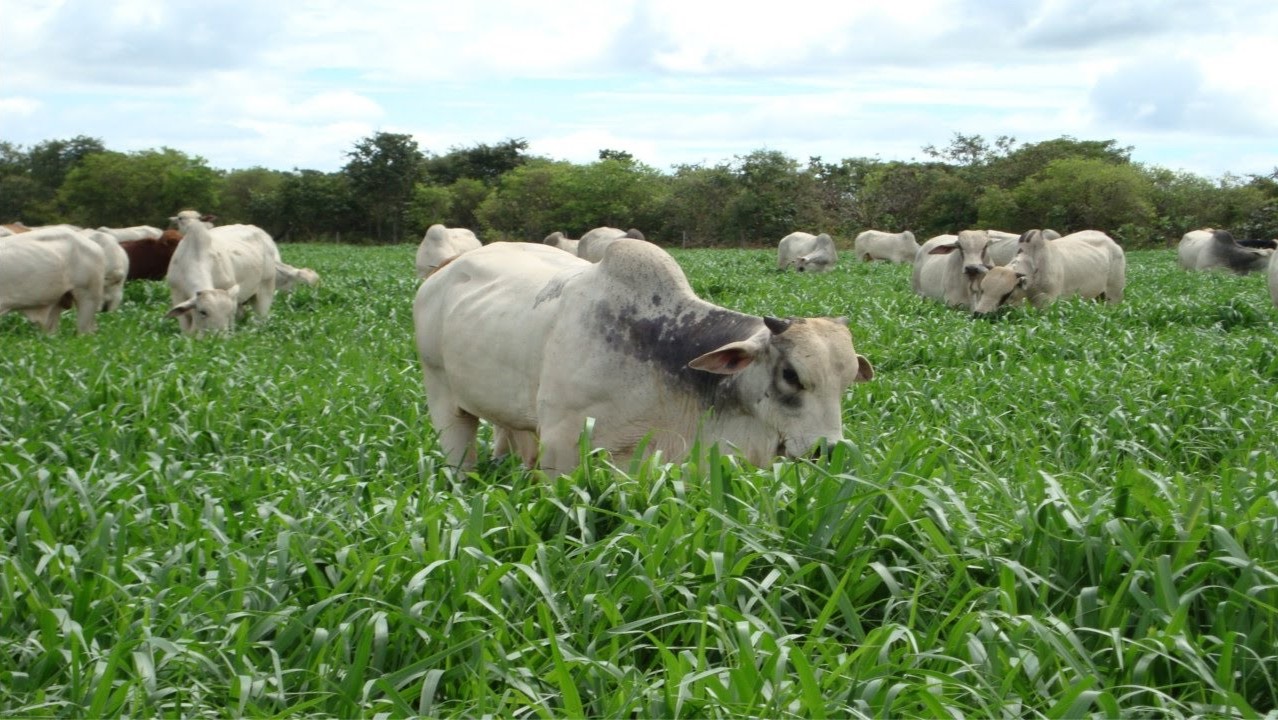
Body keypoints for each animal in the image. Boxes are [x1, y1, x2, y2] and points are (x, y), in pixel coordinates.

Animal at [164, 207, 277, 335]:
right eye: (203, 312)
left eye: (227, 312)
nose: (218, 337)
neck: (195, 257)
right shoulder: (176, 294)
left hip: (266, 289)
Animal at [414, 239, 874, 475]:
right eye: (791, 375)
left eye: (846, 382)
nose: (828, 451)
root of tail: (445, 267)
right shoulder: (562, 447)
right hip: (444, 400)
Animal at [971, 227, 1124, 313]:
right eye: (982, 290)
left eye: (1007, 293)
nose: (979, 314)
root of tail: (1112, 242)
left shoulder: (1047, 303)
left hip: (1113, 296)